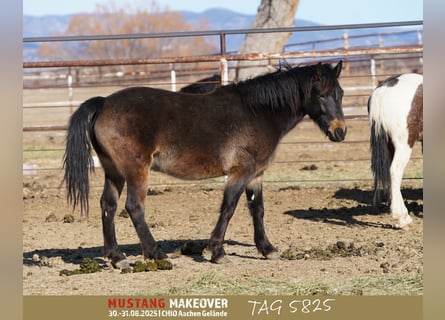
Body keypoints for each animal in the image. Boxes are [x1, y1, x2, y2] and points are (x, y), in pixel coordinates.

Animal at [63, 60, 346, 264]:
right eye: (321, 95)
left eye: (340, 94)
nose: (340, 132)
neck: (258, 113)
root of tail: (104, 103)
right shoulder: (240, 172)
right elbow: (229, 208)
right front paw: (218, 253)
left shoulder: (256, 175)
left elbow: (257, 210)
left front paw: (267, 249)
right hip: (136, 170)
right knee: (134, 207)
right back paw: (155, 254)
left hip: (114, 172)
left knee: (108, 206)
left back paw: (116, 257)